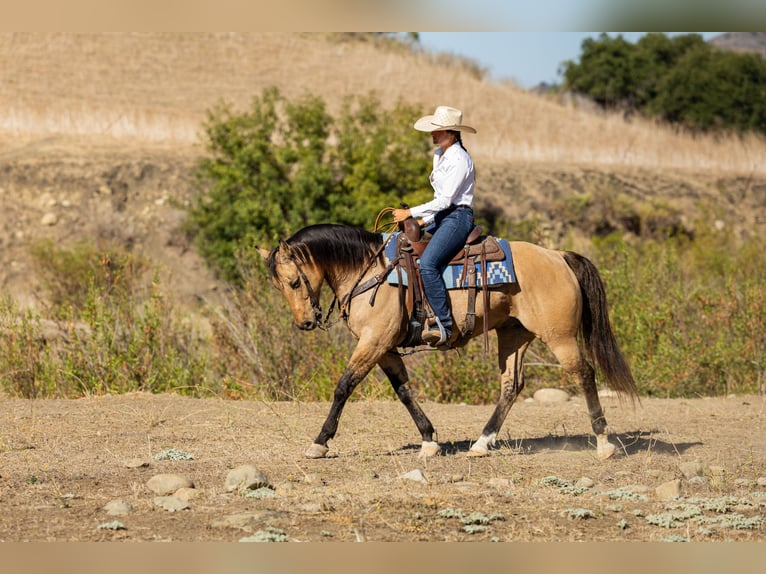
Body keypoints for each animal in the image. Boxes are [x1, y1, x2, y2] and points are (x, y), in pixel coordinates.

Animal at [258, 223, 639, 460]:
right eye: (277, 285)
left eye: (294, 282)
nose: (306, 322)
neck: (370, 271)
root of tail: (558, 256)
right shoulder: (385, 348)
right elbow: (403, 391)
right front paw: (429, 440)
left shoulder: (373, 342)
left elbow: (343, 387)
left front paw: (320, 442)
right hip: (514, 335)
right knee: (511, 385)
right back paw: (482, 442)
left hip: (559, 337)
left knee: (584, 374)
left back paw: (603, 443)